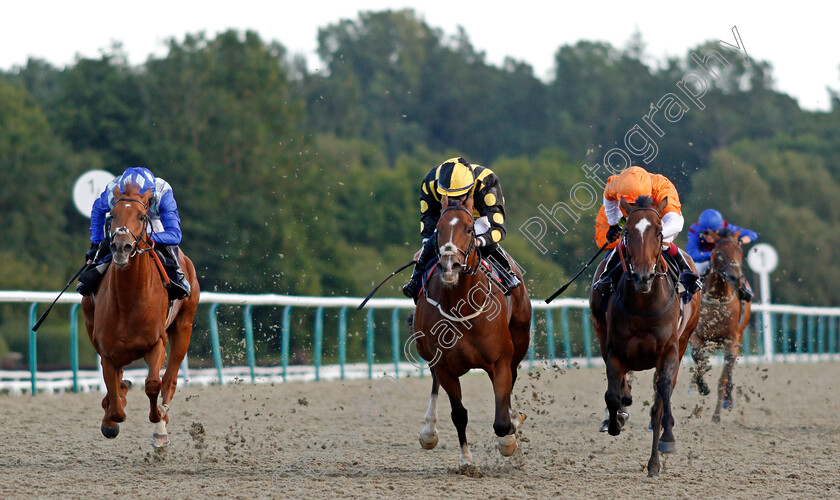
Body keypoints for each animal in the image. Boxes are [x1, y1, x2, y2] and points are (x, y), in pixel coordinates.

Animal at [81, 182, 200, 448]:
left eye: (142, 216)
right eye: (112, 215)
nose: (121, 246)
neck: (128, 301)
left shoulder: (156, 343)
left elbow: (153, 383)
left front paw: (158, 416)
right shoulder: (108, 351)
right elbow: (115, 401)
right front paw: (111, 417)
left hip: (184, 328)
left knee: (170, 381)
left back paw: (161, 431)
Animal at [412, 197, 532, 466]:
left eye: (469, 229)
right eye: (438, 230)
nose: (450, 265)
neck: (462, 307)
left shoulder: (500, 361)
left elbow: (502, 421)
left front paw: (509, 436)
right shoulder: (444, 366)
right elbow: (459, 414)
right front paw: (466, 460)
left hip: (519, 343)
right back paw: (428, 432)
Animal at [592, 195, 704, 476]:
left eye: (659, 232)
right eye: (627, 233)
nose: (643, 276)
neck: (644, 305)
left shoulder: (669, 351)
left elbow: (660, 397)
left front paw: (663, 447)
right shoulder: (616, 350)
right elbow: (612, 394)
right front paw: (615, 421)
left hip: (684, 339)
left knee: (662, 396)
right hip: (600, 329)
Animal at [692, 229, 752, 422]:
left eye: (739, 251)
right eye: (718, 253)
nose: (735, 277)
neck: (718, 297)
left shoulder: (731, 340)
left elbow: (723, 379)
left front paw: (716, 416)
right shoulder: (697, 336)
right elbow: (698, 360)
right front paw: (703, 387)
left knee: (730, 370)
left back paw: (728, 399)